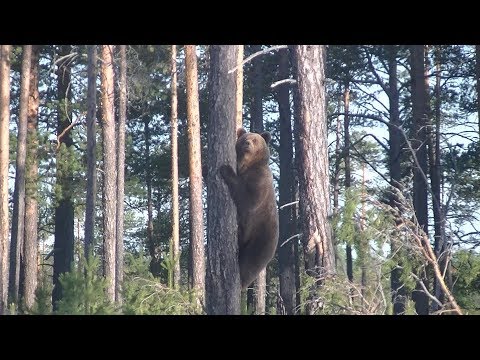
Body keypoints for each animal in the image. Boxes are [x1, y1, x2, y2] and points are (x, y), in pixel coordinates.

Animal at [219, 126, 280, 290]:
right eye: (244, 138)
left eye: (255, 139)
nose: (247, 143)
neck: (247, 165)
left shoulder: (259, 181)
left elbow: (247, 199)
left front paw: (225, 169)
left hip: (261, 238)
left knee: (250, 264)